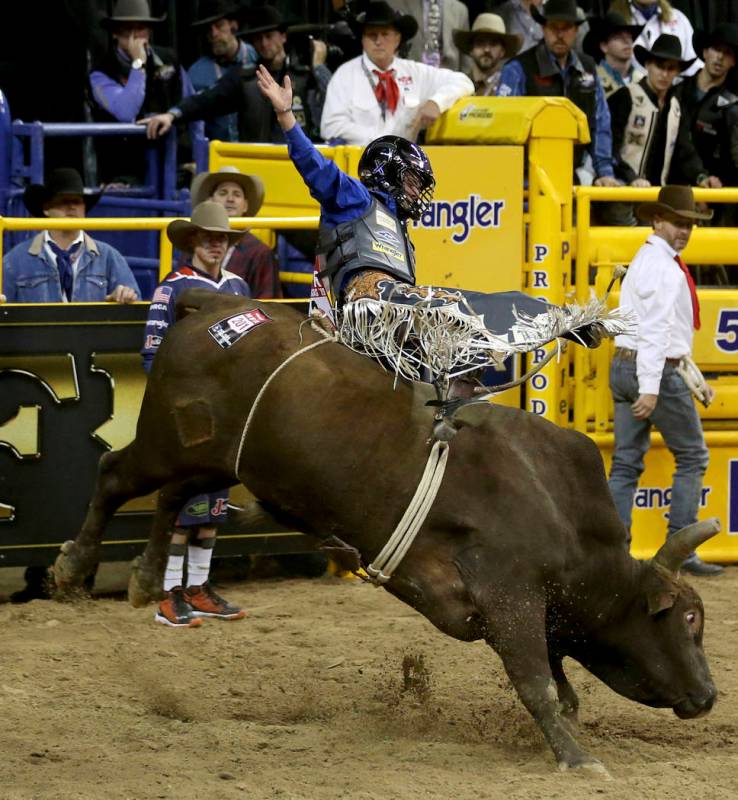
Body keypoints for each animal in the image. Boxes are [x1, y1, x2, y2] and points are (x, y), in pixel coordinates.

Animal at [53, 290, 720, 772]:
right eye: (689, 619)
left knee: (173, 497)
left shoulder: (538, 613)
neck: (561, 517)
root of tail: (213, 303)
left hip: (219, 460)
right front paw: (579, 760)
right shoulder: (510, 597)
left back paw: (142, 577)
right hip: (168, 442)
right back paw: (73, 565)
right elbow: (539, 686)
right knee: (116, 477)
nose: (711, 695)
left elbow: (563, 687)